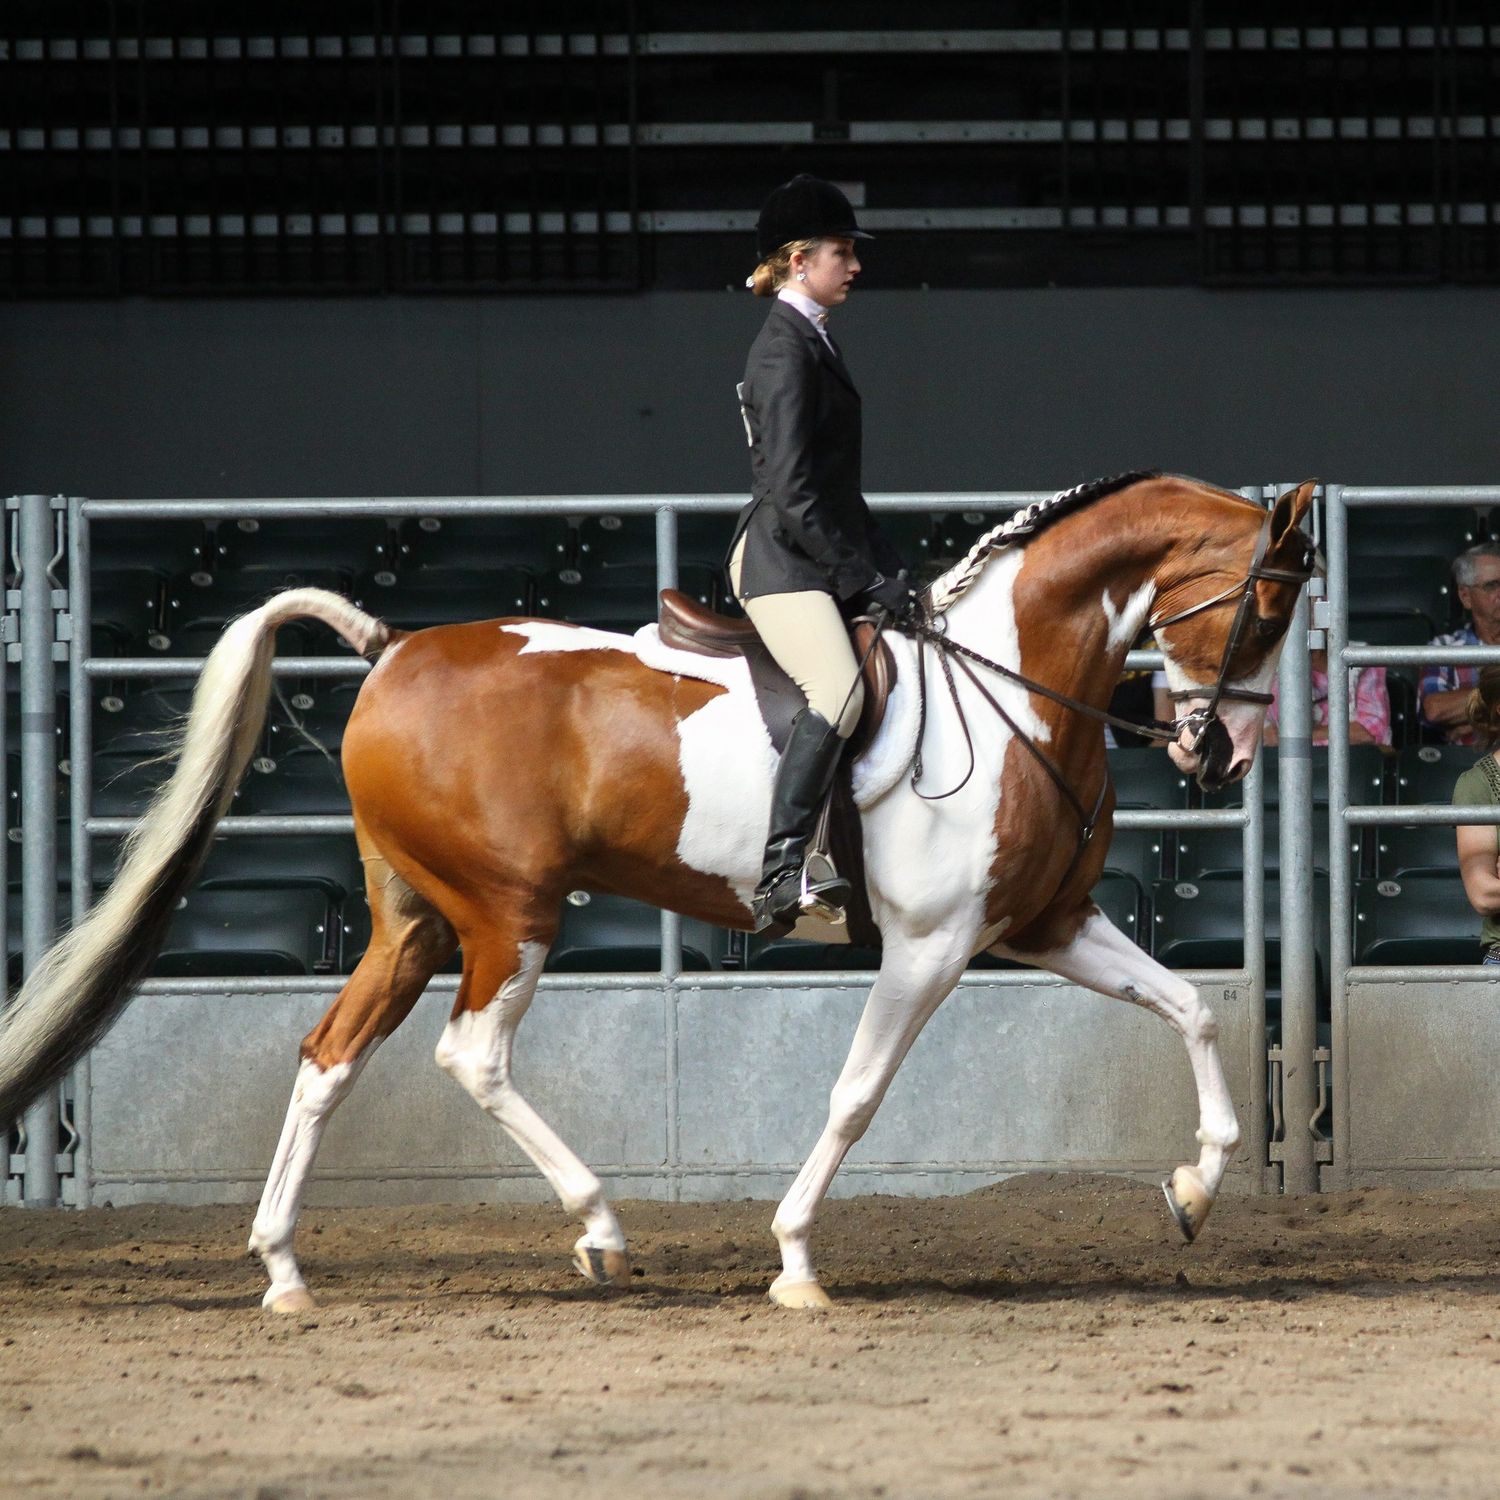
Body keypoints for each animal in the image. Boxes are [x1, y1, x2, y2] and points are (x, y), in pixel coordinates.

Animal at [0, 472, 1315, 1312]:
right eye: (1265, 602)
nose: (1221, 756)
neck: (1016, 690)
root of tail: (394, 650)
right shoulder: (931, 947)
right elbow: (856, 1097)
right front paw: (795, 1259)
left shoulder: (1048, 923)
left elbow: (1192, 1008)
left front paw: (1196, 1189)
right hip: (509, 916)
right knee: (471, 1056)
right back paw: (600, 1232)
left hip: (414, 921)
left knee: (330, 1055)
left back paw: (282, 1270)